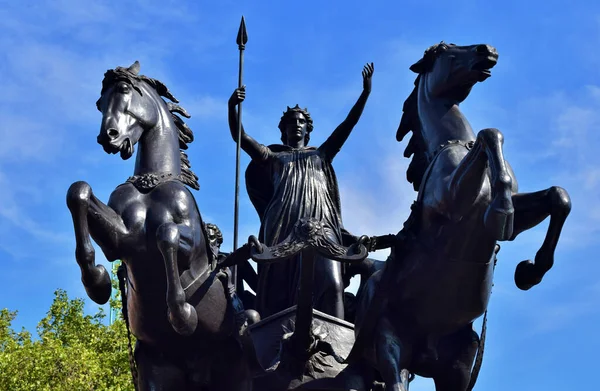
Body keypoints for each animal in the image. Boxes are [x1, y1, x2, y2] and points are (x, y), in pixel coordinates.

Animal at [65, 62, 251, 390]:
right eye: (100, 103)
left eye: (124, 90)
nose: (108, 137)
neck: (151, 183)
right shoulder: (121, 240)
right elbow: (79, 192)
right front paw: (97, 281)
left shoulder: (193, 248)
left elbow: (167, 234)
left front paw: (182, 314)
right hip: (158, 370)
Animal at [352, 43, 572, 391]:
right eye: (445, 50)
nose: (488, 50)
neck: (456, 144)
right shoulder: (453, 199)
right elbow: (489, 134)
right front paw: (501, 212)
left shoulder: (510, 213)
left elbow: (557, 197)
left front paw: (530, 271)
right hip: (387, 344)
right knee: (393, 377)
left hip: (458, 361)